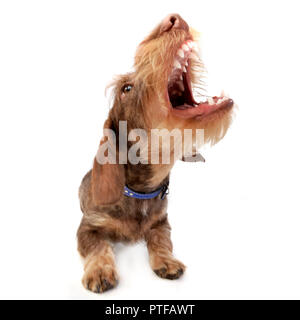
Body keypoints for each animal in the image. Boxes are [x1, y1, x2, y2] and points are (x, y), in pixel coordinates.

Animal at [76, 13, 233, 294]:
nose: (173, 19)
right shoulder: (86, 227)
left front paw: (166, 260)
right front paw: (100, 270)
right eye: (126, 89)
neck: (140, 191)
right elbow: (98, 246)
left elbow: (161, 240)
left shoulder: (162, 222)